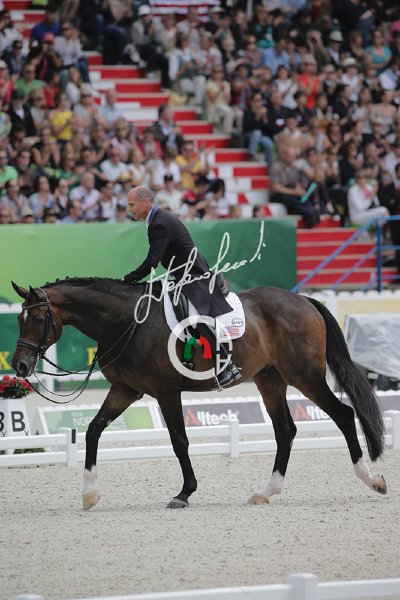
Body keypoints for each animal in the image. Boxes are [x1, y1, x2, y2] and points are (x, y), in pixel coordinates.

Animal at [11, 278, 387, 510]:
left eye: (40, 318)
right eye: (19, 319)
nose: (20, 366)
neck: (126, 322)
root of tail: (304, 300)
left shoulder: (165, 391)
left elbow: (179, 441)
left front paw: (184, 493)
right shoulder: (125, 391)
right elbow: (92, 431)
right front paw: (89, 493)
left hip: (304, 376)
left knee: (343, 415)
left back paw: (371, 479)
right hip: (271, 381)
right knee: (285, 431)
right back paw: (266, 492)